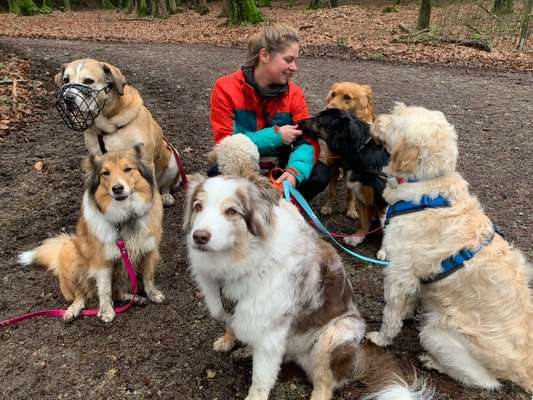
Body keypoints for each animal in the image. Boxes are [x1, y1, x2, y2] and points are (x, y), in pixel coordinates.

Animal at [18, 144, 164, 322]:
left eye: (128, 169)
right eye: (105, 173)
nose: (117, 189)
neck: (125, 217)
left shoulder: (149, 251)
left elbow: (148, 276)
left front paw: (153, 294)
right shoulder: (102, 261)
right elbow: (105, 289)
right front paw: (106, 311)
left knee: (118, 292)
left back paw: (135, 298)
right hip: (70, 255)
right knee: (80, 295)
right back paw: (73, 310)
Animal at [54, 59, 182, 206]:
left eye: (88, 81)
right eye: (66, 80)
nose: (67, 98)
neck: (106, 128)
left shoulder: (146, 161)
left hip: (173, 161)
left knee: (164, 186)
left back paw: (165, 196)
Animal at [185, 174, 430, 400]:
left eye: (231, 211)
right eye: (198, 206)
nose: (199, 237)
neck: (243, 259)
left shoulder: (271, 331)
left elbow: (261, 378)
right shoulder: (234, 307)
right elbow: (231, 325)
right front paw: (227, 341)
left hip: (334, 335)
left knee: (324, 387)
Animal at [366, 102, 532, 394]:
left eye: (396, 122)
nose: (374, 120)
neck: (428, 187)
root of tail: (525, 366)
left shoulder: (400, 273)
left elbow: (391, 313)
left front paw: (381, 338)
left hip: (436, 333)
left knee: (486, 381)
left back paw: (433, 362)